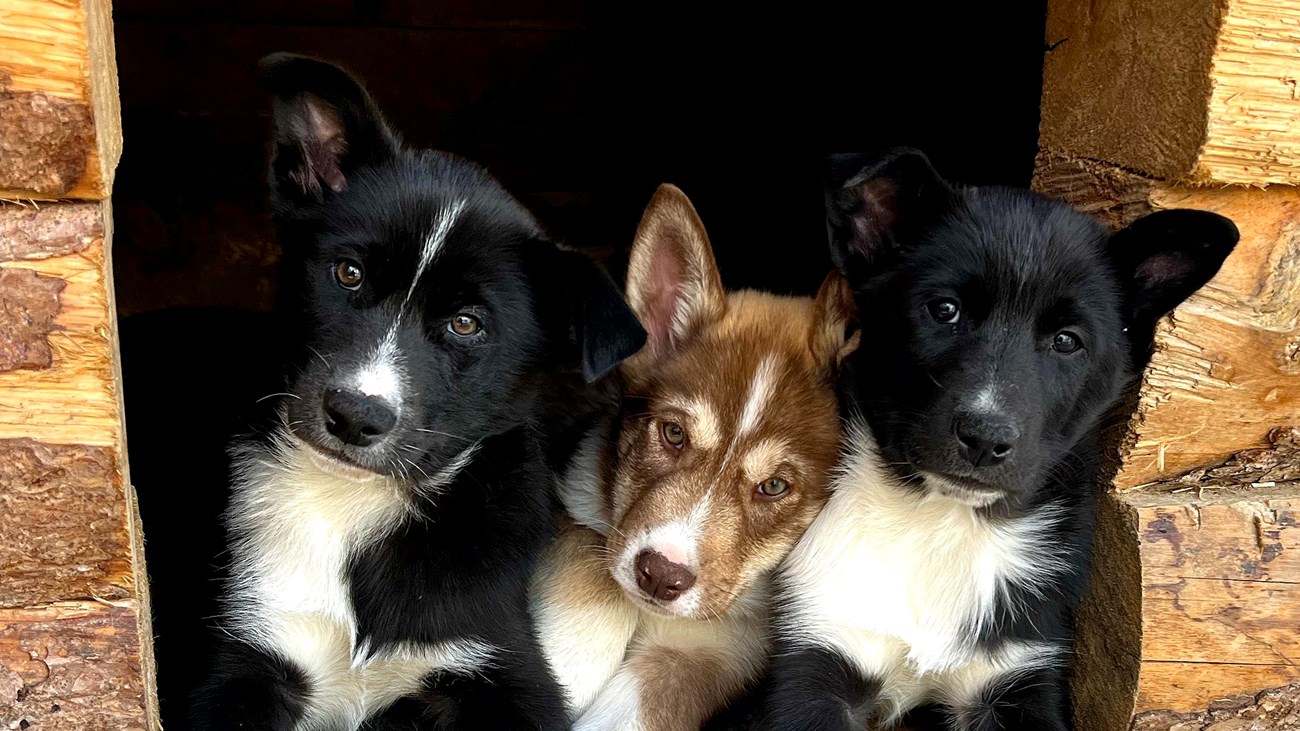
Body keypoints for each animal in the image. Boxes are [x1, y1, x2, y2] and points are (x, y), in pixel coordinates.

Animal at [189, 53, 644, 723]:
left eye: (466, 324)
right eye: (348, 273)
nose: (355, 415)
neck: (351, 502)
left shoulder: (501, 665)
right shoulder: (247, 645)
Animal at [533, 183, 857, 728]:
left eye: (774, 486)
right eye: (673, 434)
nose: (661, 576)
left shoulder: (719, 649)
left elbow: (651, 698)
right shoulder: (573, 503)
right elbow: (596, 576)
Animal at [759, 149, 1237, 728]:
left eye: (1066, 341)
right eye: (945, 310)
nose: (985, 439)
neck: (937, 523)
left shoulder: (1019, 672)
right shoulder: (818, 653)